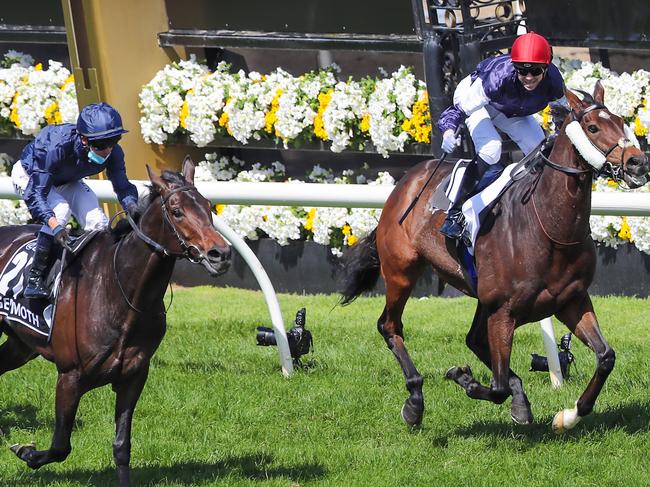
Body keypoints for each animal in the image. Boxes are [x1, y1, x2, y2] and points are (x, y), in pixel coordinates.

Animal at [0, 158, 232, 486]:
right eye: (176, 211)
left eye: (209, 206)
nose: (220, 254)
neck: (120, 289)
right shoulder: (69, 377)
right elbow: (60, 445)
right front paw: (26, 452)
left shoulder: (133, 376)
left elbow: (122, 446)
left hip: (21, 346)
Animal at [342, 83, 644, 430]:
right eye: (593, 127)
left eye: (621, 122)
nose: (638, 163)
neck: (548, 226)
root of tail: (407, 180)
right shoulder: (503, 311)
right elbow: (496, 387)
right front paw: (463, 377)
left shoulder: (571, 300)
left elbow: (605, 357)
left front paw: (568, 416)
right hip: (401, 271)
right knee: (390, 326)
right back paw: (415, 401)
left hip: (479, 295)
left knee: (473, 339)